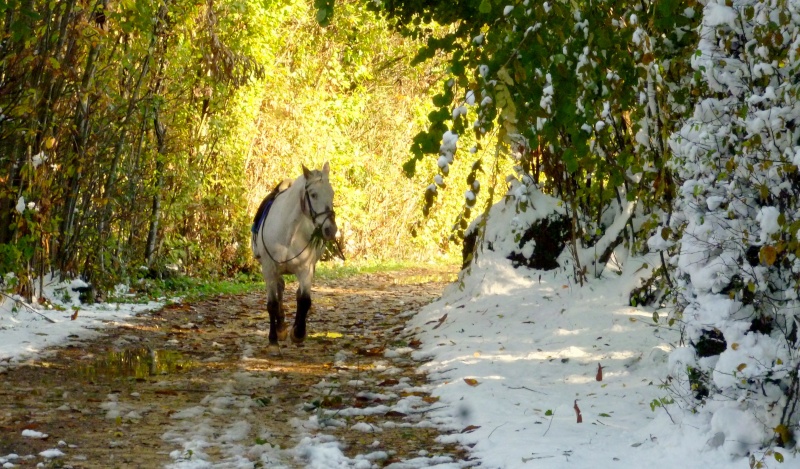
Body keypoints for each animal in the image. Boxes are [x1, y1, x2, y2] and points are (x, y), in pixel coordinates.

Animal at [250, 164, 338, 344]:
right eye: (313, 194)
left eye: (332, 193)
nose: (331, 230)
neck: (288, 232)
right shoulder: (269, 269)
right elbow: (272, 303)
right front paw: (273, 336)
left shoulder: (306, 269)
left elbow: (304, 300)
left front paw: (298, 333)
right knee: (280, 289)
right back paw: (280, 328)